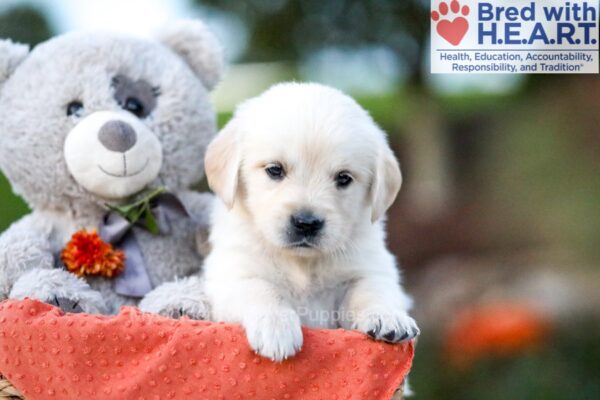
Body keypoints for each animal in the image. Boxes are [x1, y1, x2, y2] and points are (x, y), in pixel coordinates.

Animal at [202, 83, 418, 360]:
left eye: (344, 178)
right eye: (275, 169)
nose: (306, 223)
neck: (302, 263)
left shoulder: (372, 266)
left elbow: (371, 289)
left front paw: (387, 315)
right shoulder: (231, 274)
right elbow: (261, 289)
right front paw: (276, 326)